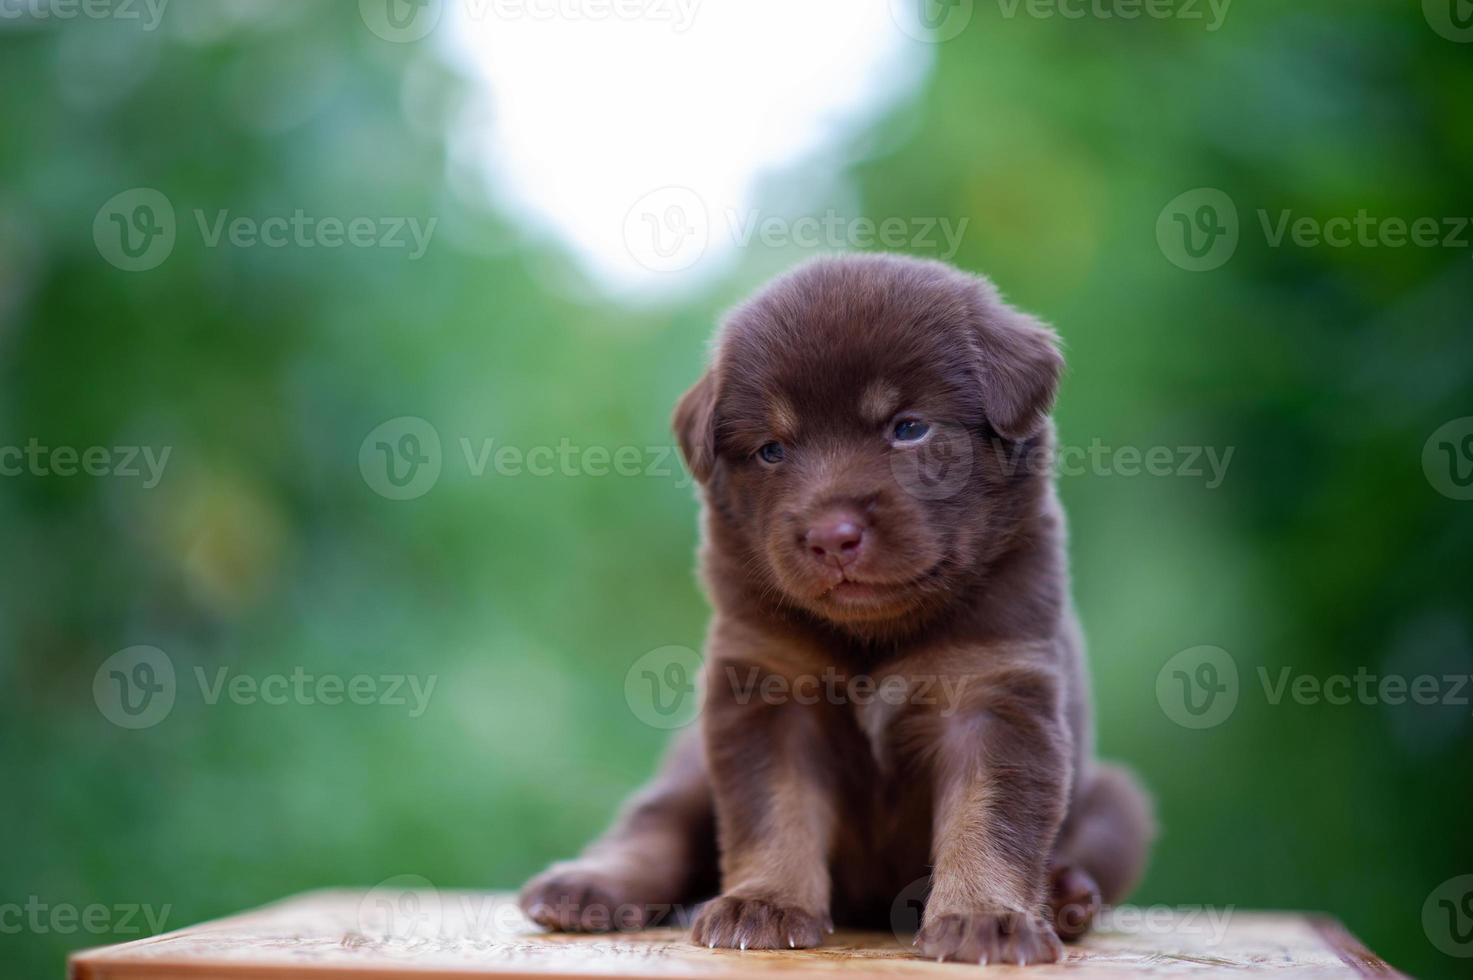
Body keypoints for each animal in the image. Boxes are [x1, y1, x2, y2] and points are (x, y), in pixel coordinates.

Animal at [524, 252, 1154, 960]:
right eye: (772, 449)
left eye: (910, 429)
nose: (831, 536)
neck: (872, 637)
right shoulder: (766, 687)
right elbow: (774, 808)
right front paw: (763, 903)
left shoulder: (995, 690)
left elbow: (989, 816)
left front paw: (985, 917)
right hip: (689, 765)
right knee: (656, 822)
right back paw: (585, 887)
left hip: (1118, 804)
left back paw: (1069, 896)